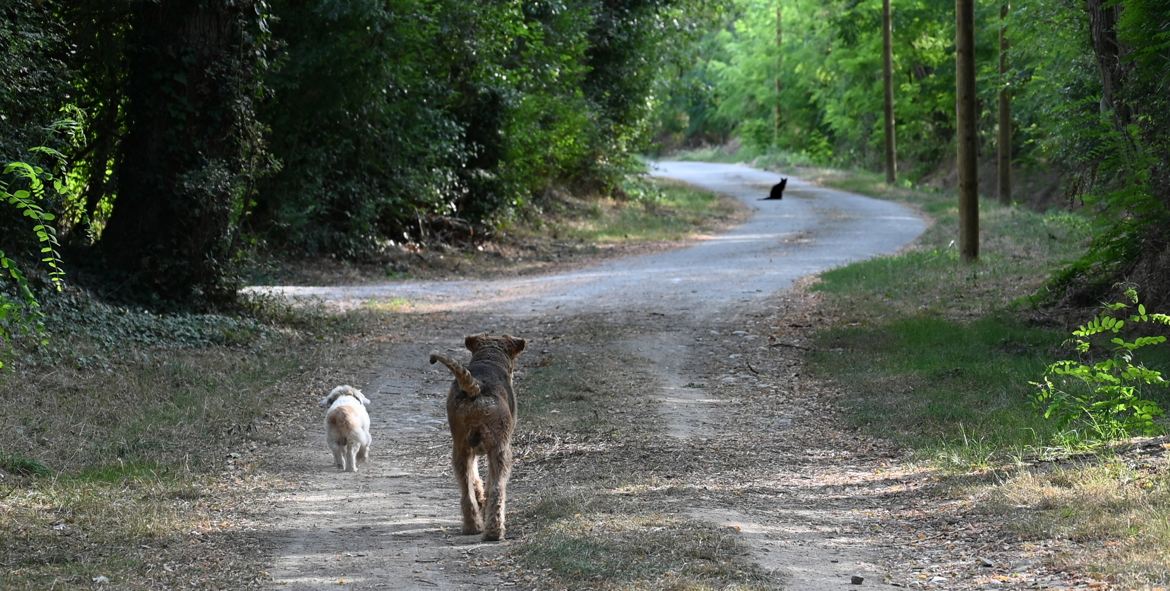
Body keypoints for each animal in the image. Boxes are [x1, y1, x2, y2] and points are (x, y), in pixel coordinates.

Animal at [430, 332, 526, 538]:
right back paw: (494, 531)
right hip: (500, 450)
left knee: (466, 493)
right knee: (497, 490)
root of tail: (477, 388)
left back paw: (472, 526)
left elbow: (474, 480)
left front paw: (480, 498)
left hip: (460, 448)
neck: (489, 358)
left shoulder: (470, 450)